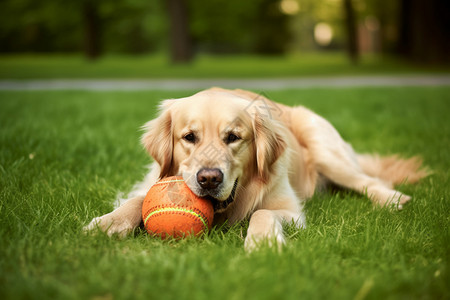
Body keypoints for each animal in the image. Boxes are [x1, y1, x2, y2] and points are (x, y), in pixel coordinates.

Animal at [85, 87, 428, 251]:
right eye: (189, 137)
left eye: (233, 137)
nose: (209, 179)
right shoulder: (150, 180)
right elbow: (137, 200)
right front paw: (108, 223)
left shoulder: (290, 209)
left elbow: (262, 212)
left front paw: (263, 242)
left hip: (324, 145)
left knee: (366, 179)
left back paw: (392, 199)